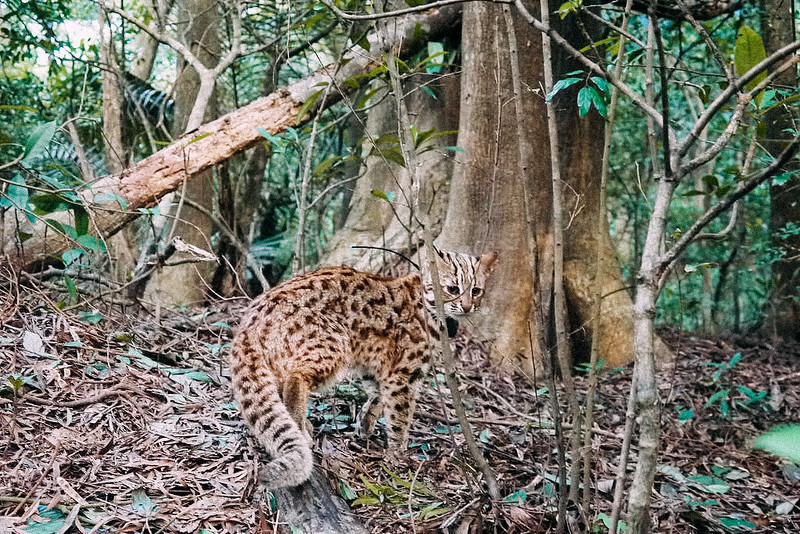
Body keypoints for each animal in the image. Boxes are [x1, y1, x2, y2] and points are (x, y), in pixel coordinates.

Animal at [228, 247, 496, 490]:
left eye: (476, 291)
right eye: (453, 289)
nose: (467, 306)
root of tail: (248, 326)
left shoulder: (377, 367)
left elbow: (377, 397)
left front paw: (365, 425)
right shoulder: (403, 375)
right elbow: (400, 415)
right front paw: (398, 454)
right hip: (333, 345)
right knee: (296, 378)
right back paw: (301, 428)